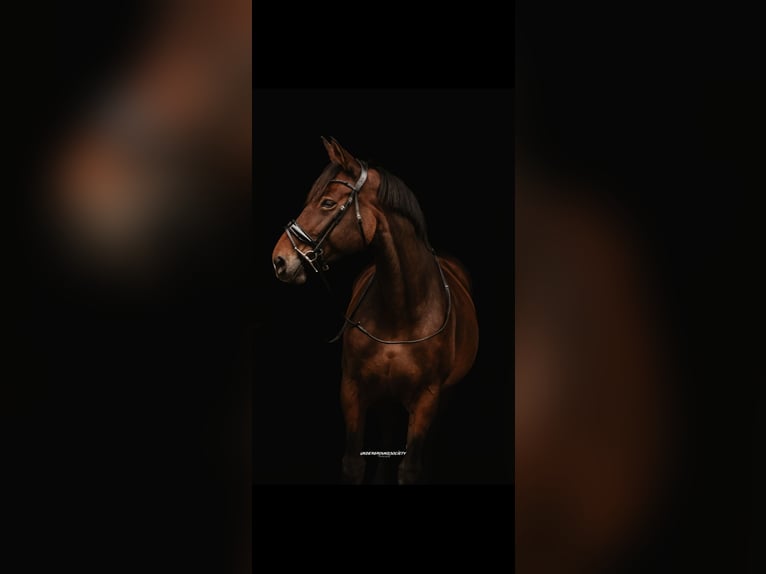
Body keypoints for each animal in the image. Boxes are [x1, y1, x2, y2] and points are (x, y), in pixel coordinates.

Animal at [271, 137, 479, 484]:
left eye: (327, 203)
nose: (279, 260)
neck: (401, 312)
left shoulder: (427, 398)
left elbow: (411, 468)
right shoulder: (354, 390)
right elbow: (355, 463)